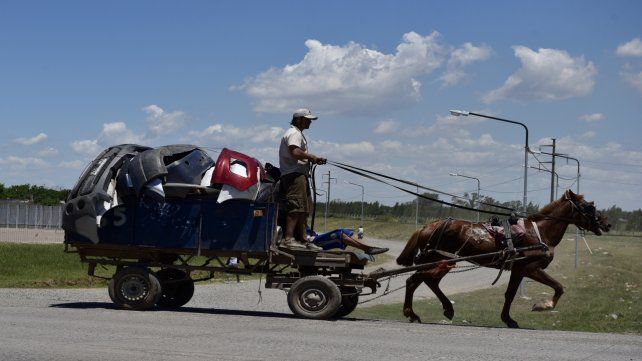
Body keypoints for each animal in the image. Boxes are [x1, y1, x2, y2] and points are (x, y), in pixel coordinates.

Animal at [396, 190, 608, 328]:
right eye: (588, 206)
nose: (606, 224)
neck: (538, 232)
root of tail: (427, 226)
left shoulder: (518, 270)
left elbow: (510, 294)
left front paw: (508, 319)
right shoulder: (530, 268)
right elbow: (558, 287)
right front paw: (542, 306)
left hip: (443, 262)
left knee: (428, 281)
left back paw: (445, 309)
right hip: (439, 260)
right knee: (414, 280)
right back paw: (412, 313)